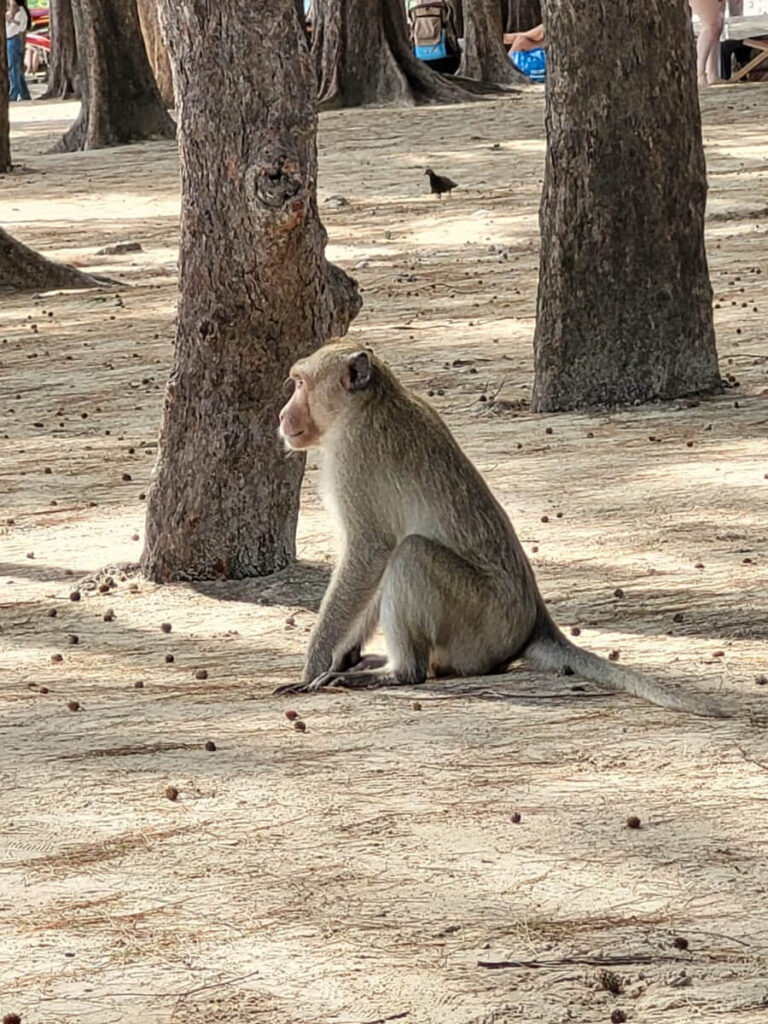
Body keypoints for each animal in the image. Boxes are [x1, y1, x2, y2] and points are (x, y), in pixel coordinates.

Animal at [275, 341, 729, 719]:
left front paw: (314, 666)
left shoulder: (353, 459)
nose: (281, 415)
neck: (366, 404)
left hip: (483, 624)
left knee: (412, 553)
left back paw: (401, 672)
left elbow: (371, 551)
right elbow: (372, 563)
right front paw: (343, 654)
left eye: (300, 384)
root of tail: (534, 622)